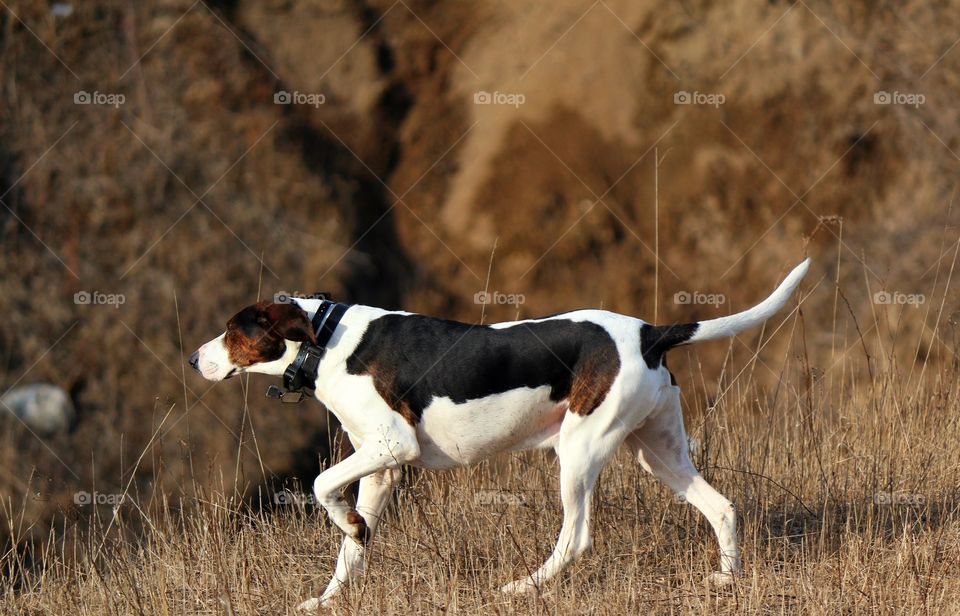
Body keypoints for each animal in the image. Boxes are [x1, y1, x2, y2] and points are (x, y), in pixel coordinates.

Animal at [189, 258, 808, 608]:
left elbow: (322, 487)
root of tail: (649, 332)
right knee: (722, 507)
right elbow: (350, 551)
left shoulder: (392, 445)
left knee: (577, 537)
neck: (324, 337)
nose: (194, 359)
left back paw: (521, 588)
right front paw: (330, 595)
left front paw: (347, 527)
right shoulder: (381, 468)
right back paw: (727, 579)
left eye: (231, 331)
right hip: (659, 455)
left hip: (579, 452)